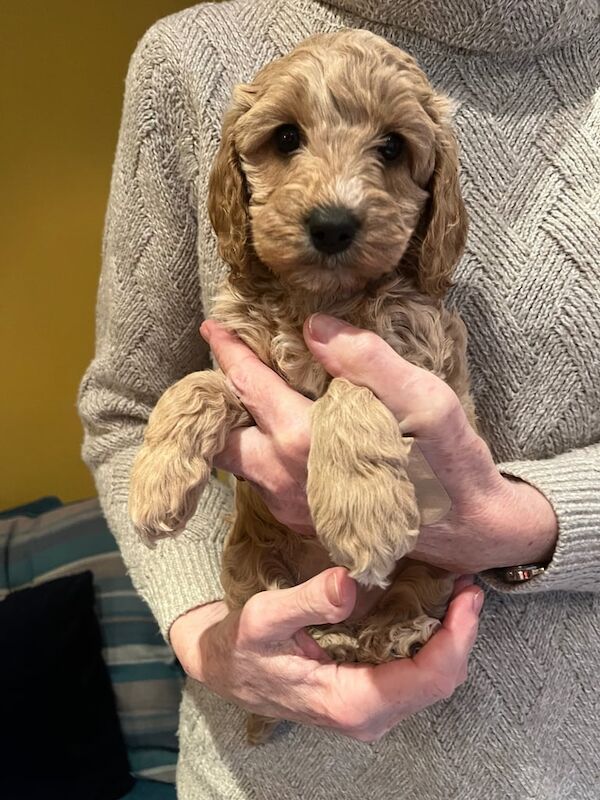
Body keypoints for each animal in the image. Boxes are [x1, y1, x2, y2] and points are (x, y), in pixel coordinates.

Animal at [129, 29, 476, 744]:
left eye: (392, 147)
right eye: (286, 137)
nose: (333, 223)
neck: (319, 297)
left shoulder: (423, 357)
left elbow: (355, 387)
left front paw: (362, 508)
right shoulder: (244, 358)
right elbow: (195, 383)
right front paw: (156, 479)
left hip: (431, 568)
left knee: (404, 599)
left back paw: (392, 634)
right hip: (250, 560)